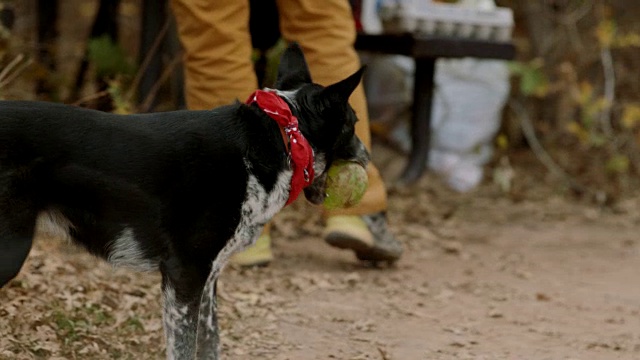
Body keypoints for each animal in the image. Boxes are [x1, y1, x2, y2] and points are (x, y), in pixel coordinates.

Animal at [0, 45, 368, 360]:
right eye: (353, 124)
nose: (367, 155)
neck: (281, 137)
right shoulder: (185, 276)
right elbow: (185, 348)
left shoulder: (207, 280)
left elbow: (209, 343)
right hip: (12, 252)